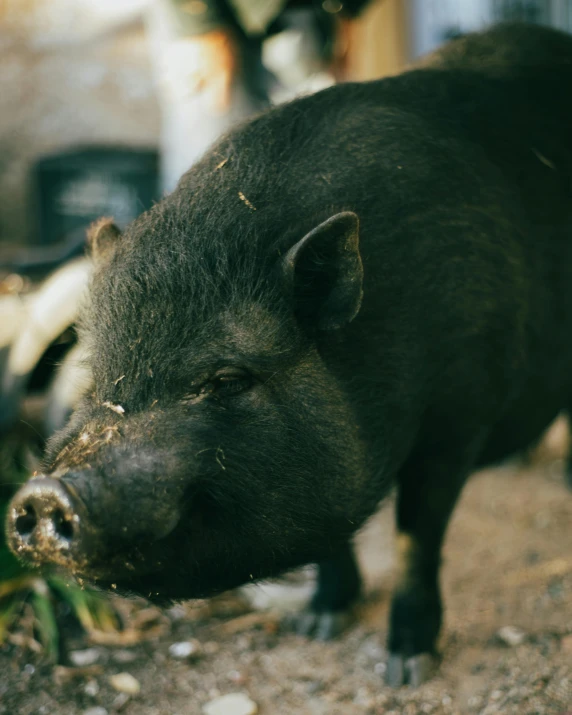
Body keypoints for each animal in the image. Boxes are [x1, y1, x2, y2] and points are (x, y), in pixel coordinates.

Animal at [6, 23, 572, 688]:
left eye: (227, 378)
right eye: (96, 381)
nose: (46, 493)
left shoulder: (459, 415)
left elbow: (417, 537)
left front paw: (407, 668)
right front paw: (318, 624)